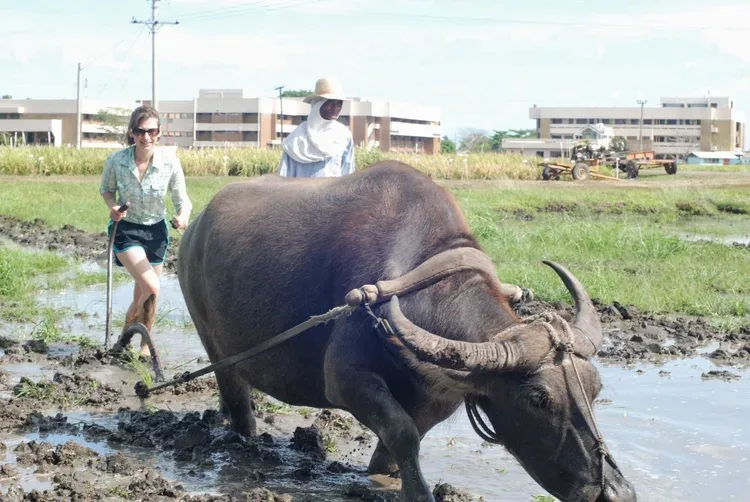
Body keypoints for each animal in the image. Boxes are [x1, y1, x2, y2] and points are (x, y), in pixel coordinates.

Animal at [176, 161, 637, 502]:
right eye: (536, 399)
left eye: (595, 388)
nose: (614, 493)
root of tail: (193, 230)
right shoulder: (344, 380)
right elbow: (401, 431)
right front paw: (418, 493)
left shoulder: (441, 396)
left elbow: (399, 443)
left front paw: (383, 478)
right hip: (212, 339)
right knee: (237, 397)